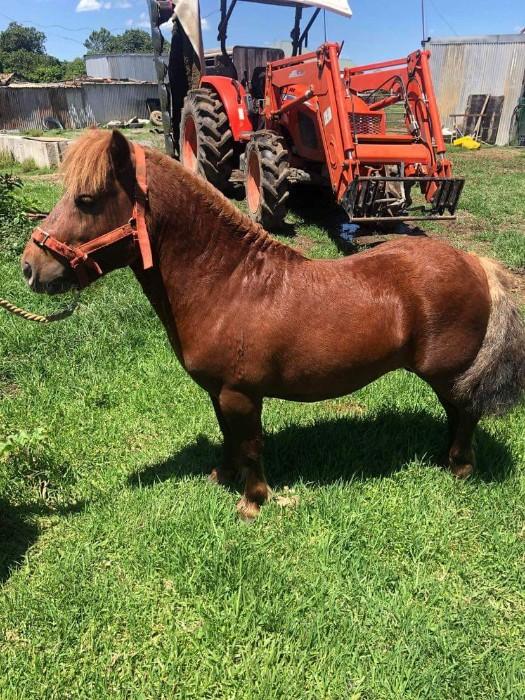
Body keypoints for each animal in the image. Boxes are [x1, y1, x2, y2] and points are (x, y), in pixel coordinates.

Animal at [22, 129, 525, 519]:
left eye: (86, 200)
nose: (29, 267)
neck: (229, 283)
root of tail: (472, 260)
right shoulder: (220, 393)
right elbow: (229, 438)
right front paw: (222, 475)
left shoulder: (241, 394)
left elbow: (250, 444)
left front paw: (253, 502)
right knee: (456, 413)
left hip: (449, 373)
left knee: (466, 412)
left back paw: (459, 466)